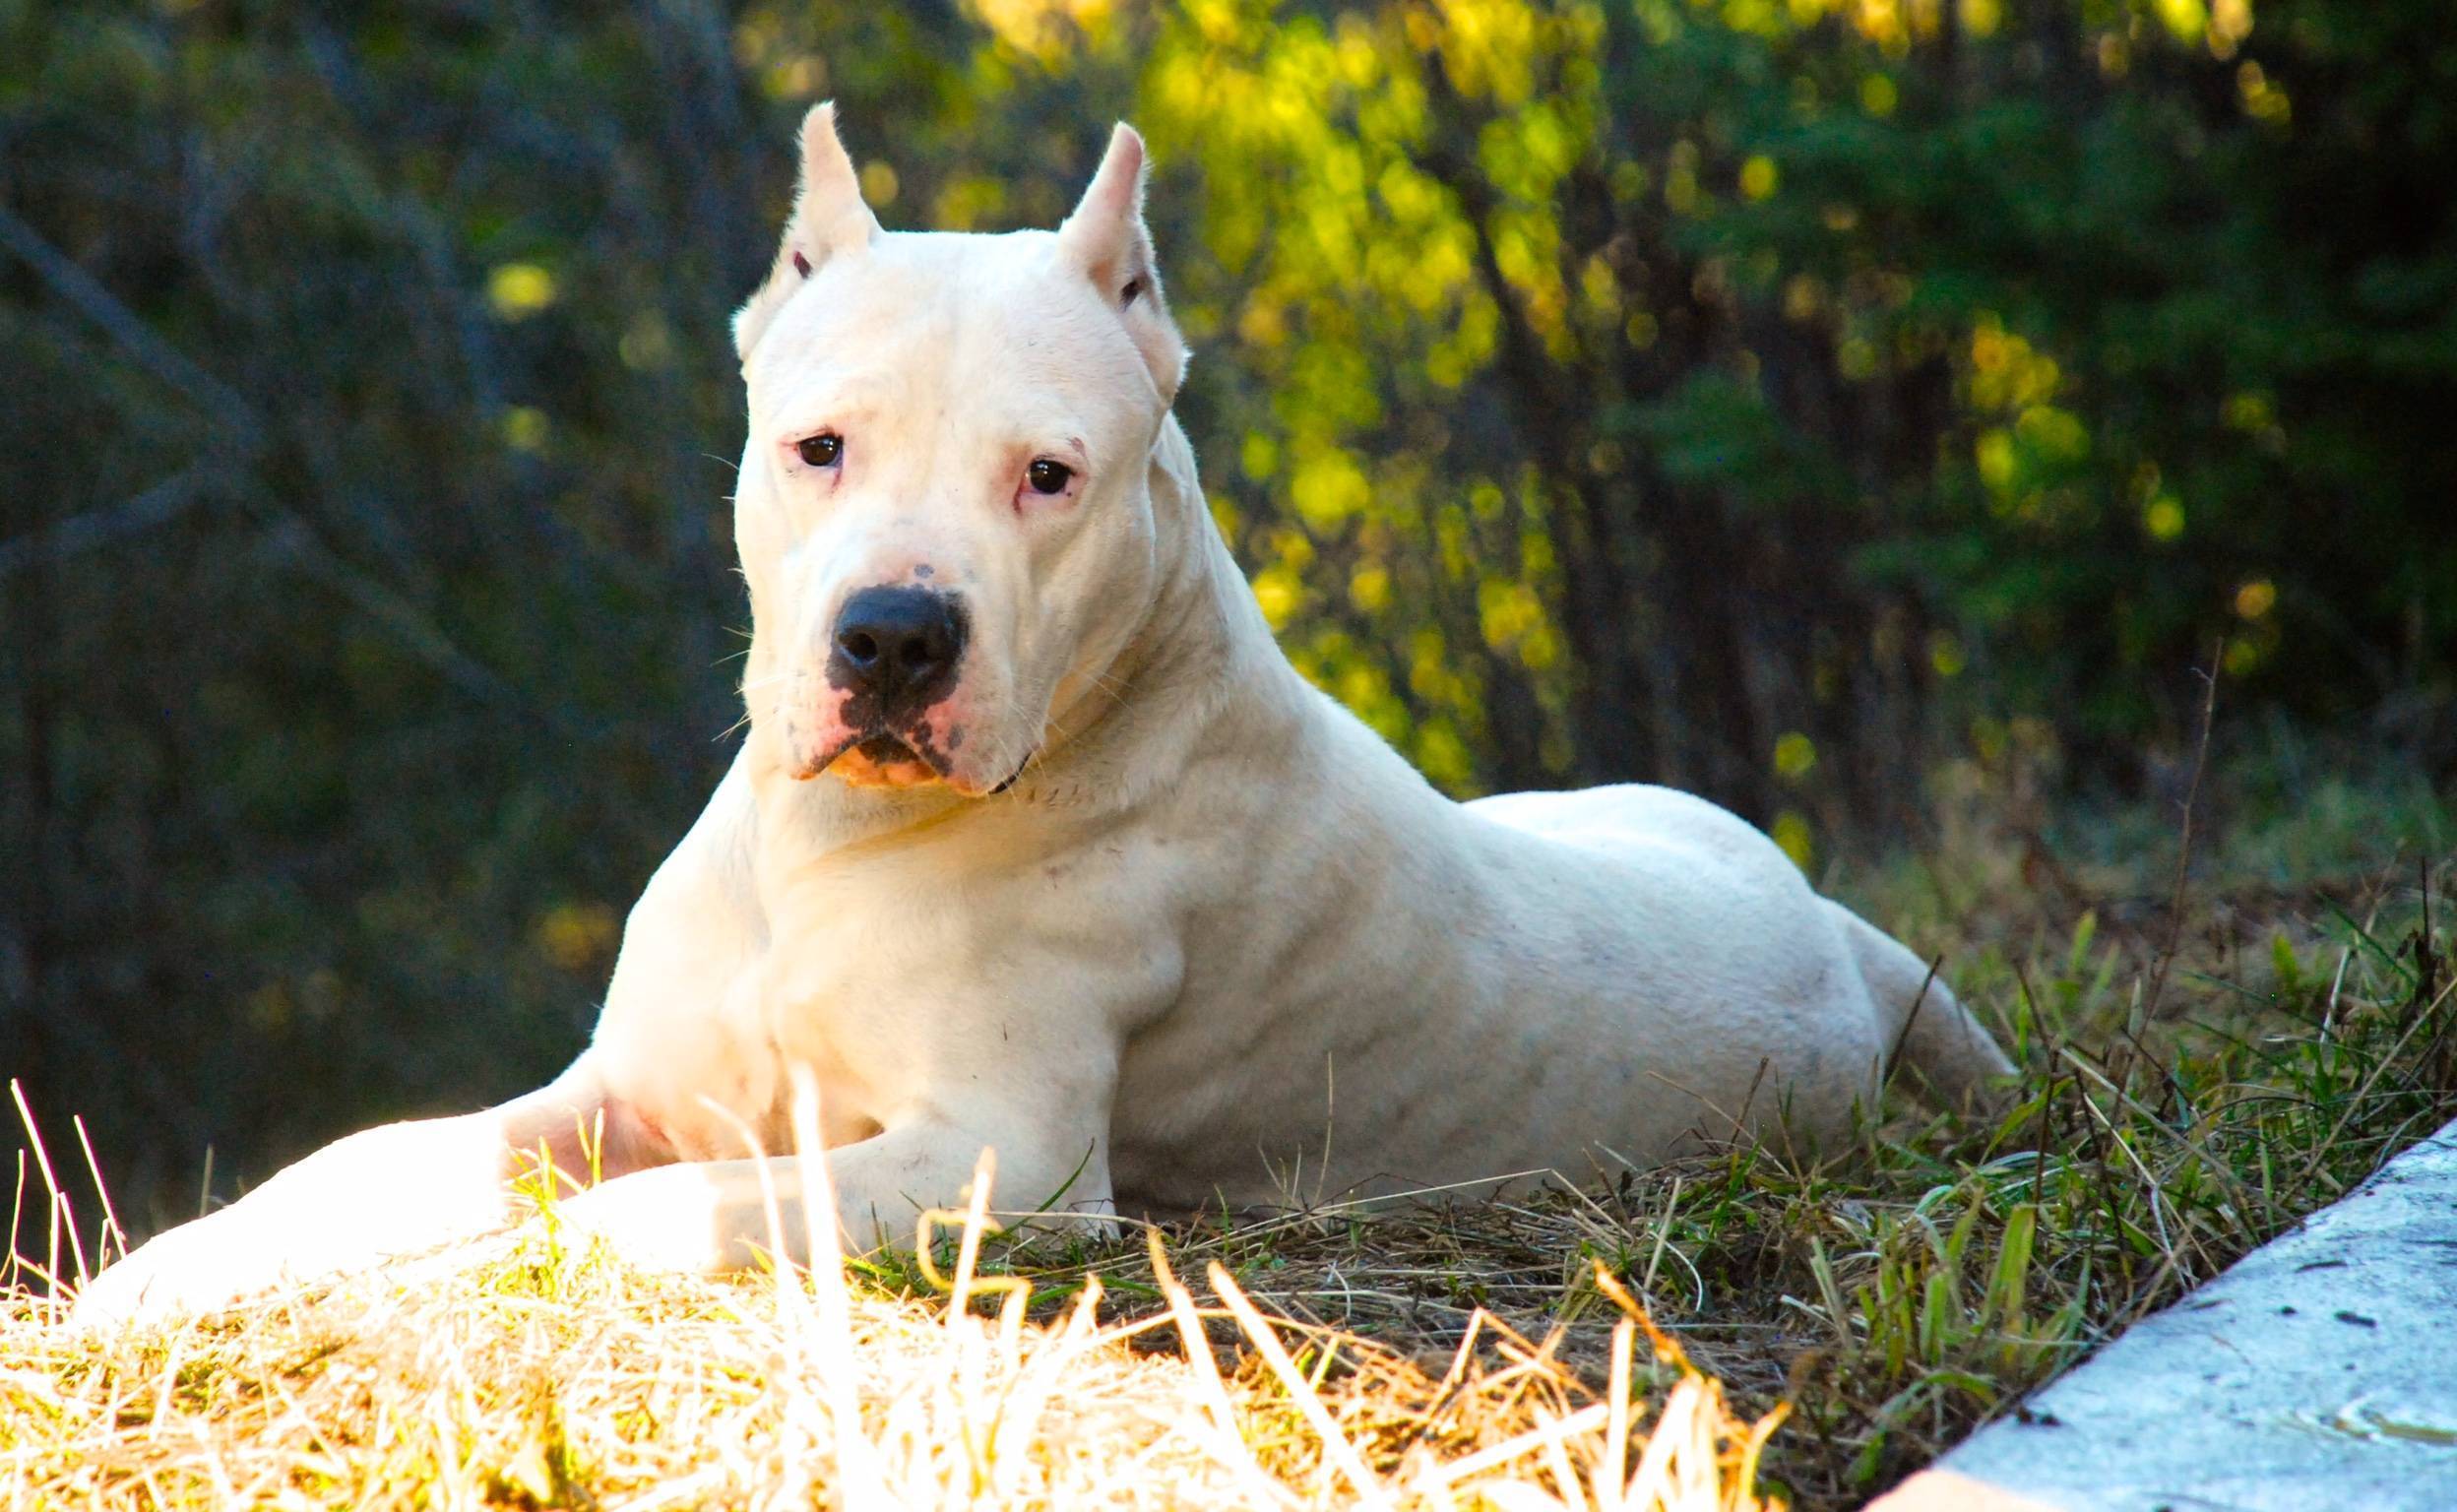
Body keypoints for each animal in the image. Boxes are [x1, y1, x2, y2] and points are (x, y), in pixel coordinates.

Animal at [77, 106, 2014, 1327]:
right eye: (819, 445)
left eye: (1050, 477)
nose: (894, 641)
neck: (831, 844)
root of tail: (1837, 926)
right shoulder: (609, 1095)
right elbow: (379, 1160)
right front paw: (162, 1274)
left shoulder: (995, 1161)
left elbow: (644, 1222)